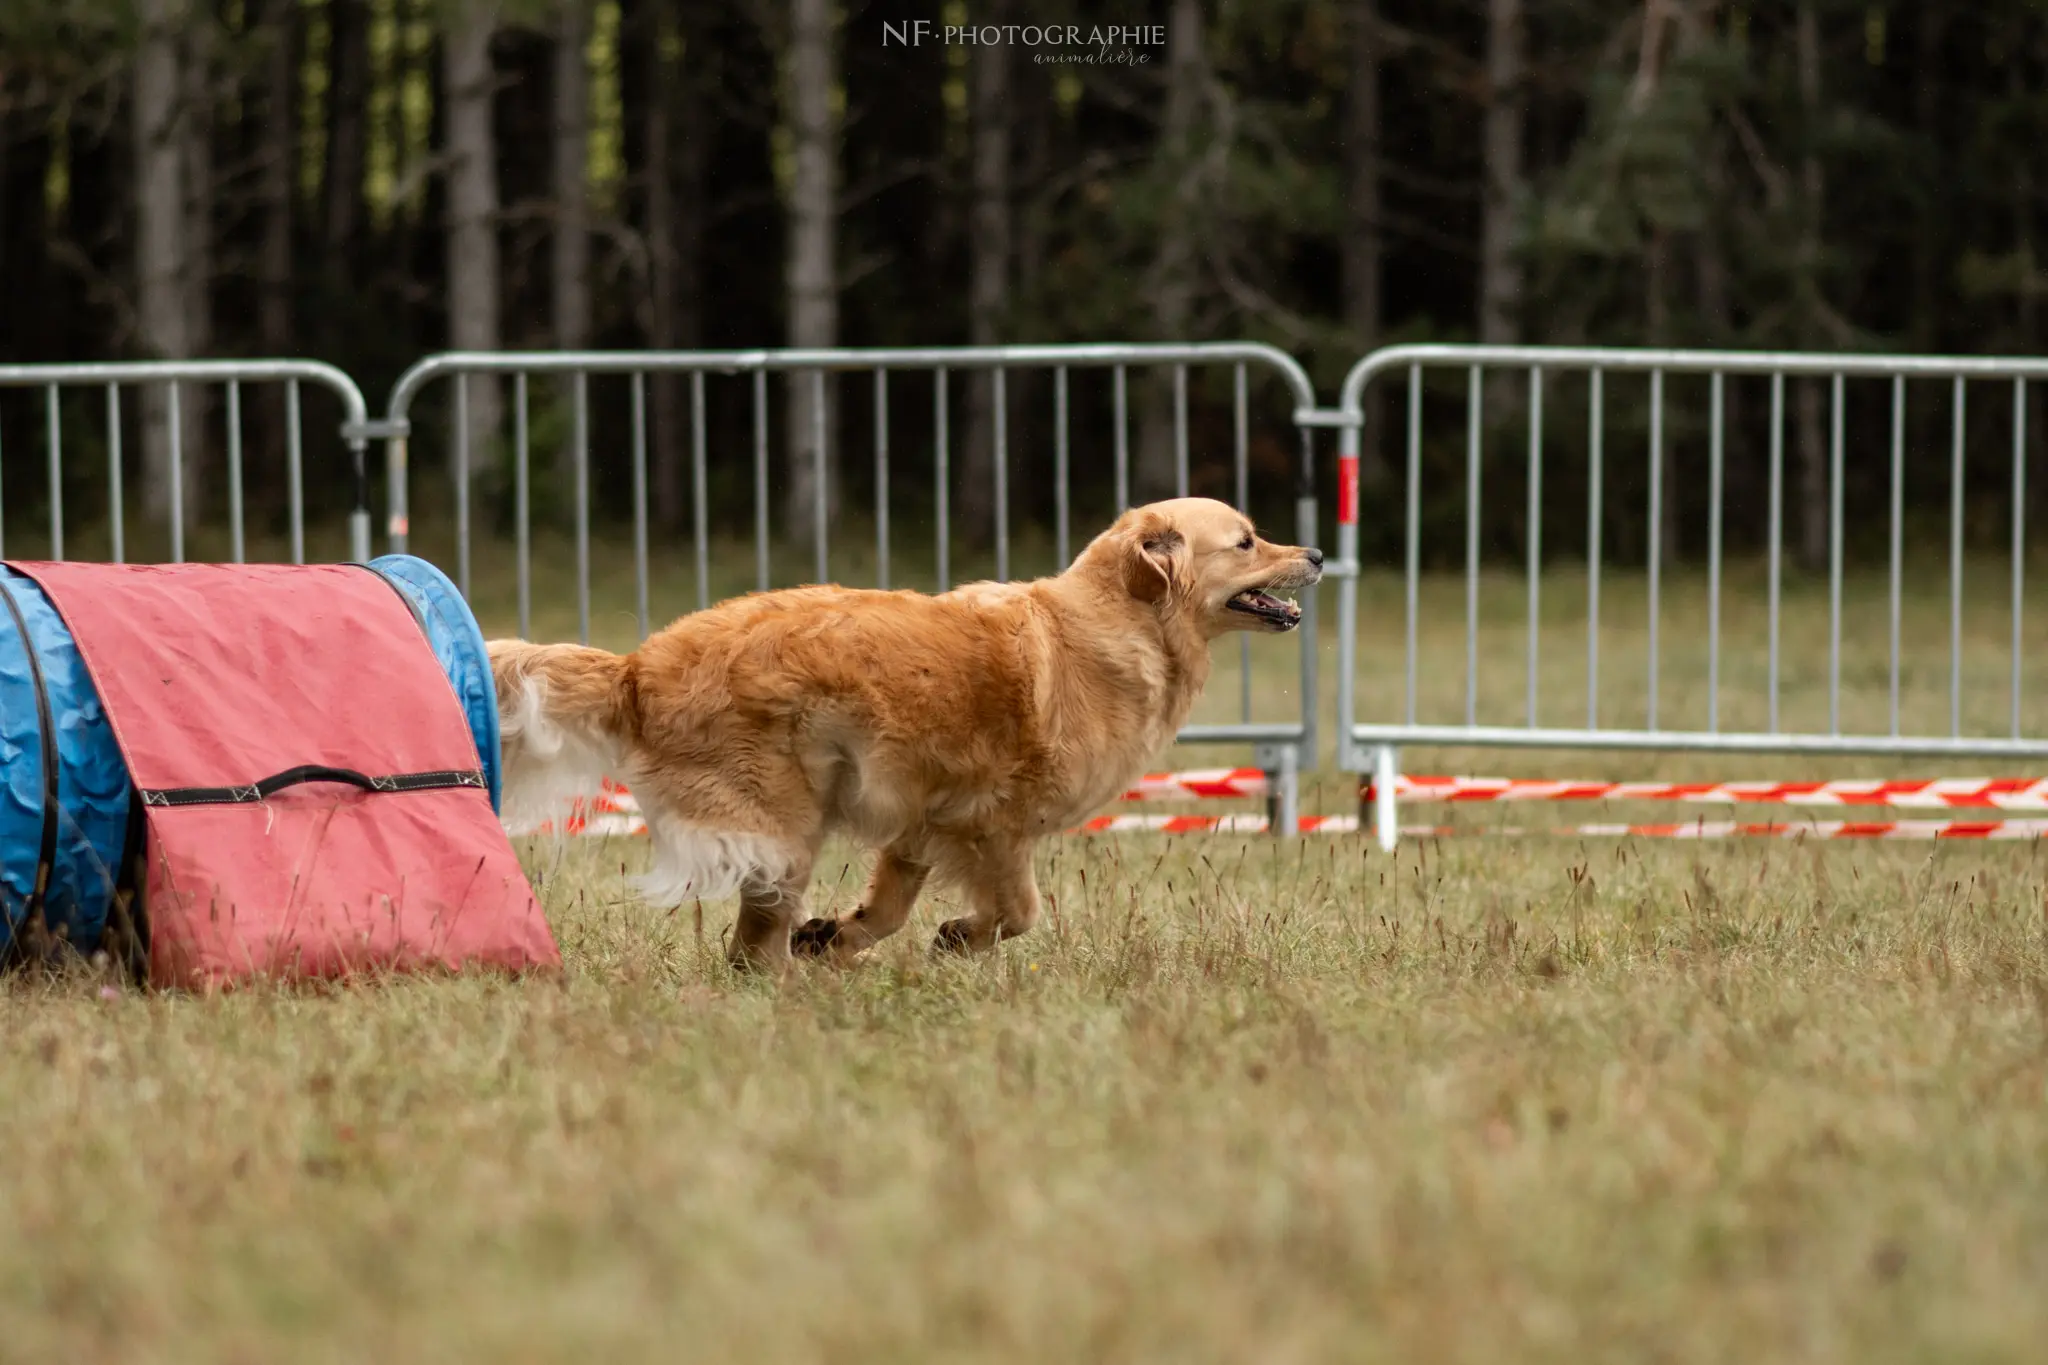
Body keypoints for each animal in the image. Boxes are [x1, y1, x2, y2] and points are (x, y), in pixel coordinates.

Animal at [497, 497, 1327, 965]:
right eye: (1247, 541)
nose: (1318, 552)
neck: (1118, 622)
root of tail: (638, 667)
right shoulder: (995, 824)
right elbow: (1018, 912)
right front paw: (958, 938)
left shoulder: (923, 820)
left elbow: (888, 907)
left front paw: (839, 937)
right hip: (784, 825)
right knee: (751, 946)